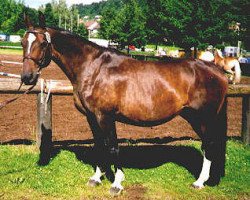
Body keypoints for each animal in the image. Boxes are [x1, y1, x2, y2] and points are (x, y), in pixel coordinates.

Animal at [21, 12, 229, 195]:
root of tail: (217, 71)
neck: (94, 69)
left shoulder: (105, 117)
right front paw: (96, 178)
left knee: (210, 145)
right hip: (194, 117)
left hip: (204, 119)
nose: (27, 77)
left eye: (43, 43)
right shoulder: (92, 117)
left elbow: (113, 147)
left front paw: (117, 183)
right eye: (23, 43)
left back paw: (199, 182)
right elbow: (99, 145)